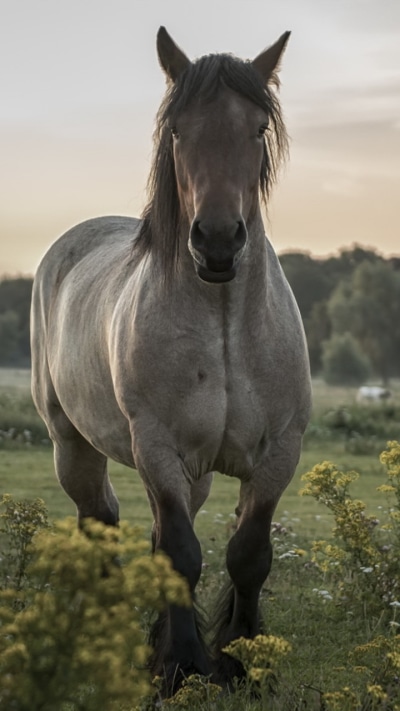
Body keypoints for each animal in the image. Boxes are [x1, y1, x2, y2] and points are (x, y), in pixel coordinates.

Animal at [31, 26, 312, 695]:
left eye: (257, 129)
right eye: (179, 130)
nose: (217, 241)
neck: (226, 327)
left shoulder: (279, 453)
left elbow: (248, 554)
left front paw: (242, 659)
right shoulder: (157, 447)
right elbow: (182, 555)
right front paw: (182, 666)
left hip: (196, 473)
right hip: (72, 446)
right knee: (101, 522)